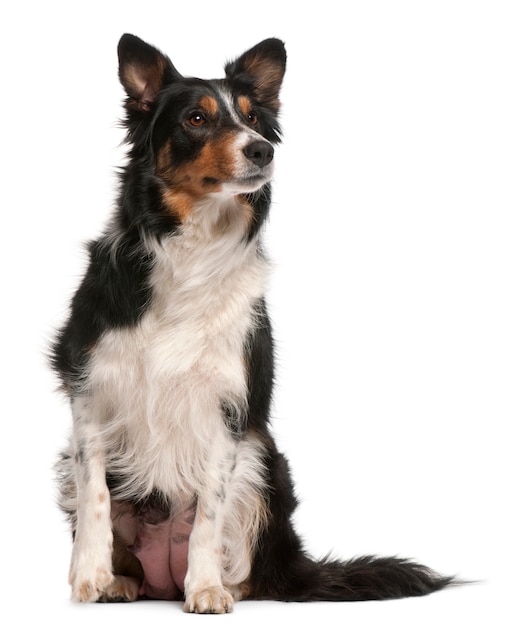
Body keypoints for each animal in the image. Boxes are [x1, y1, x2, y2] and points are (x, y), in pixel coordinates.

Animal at [50, 33, 452, 608]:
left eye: (254, 119)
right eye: (196, 118)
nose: (263, 149)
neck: (191, 247)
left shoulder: (228, 408)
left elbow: (208, 513)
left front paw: (205, 589)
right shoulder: (89, 389)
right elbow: (96, 495)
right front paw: (90, 574)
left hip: (265, 460)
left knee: (252, 568)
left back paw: (224, 586)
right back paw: (120, 582)